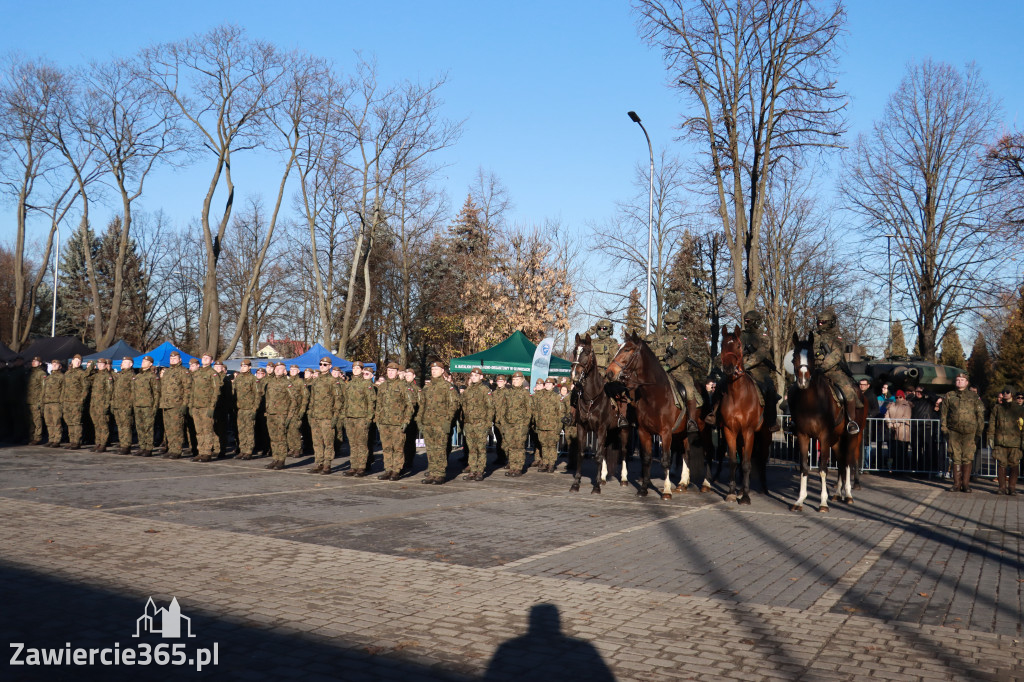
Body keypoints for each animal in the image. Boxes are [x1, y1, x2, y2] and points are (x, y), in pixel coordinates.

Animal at [569, 331, 630, 491]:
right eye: (575, 351)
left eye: (587, 352)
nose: (575, 376)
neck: (591, 397)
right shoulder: (582, 428)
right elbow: (582, 453)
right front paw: (576, 483)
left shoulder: (601, 428)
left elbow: (597, 456)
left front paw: (596, 486)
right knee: (605, 451)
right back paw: (603, 477)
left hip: (624, 430)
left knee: (624, 451)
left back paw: (623, 479)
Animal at [602, 329, 708, 497]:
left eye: (627, 349)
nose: (609, 372)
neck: (653, 395)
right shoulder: (643, 432)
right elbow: (646, 458)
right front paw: (644, 488)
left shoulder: (665, 433)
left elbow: (665, 460)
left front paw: (666, 490)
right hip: (682, 433)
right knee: (686, 453)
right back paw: (683, 483)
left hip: (703, 431)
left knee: (707, 454)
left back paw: (705, 484)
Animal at [716, 323, 770, 503]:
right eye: (722, 345)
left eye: (739, 346)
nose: (728, 368)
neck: (738, 396)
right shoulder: (730, 431)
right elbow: (734, 461)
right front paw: (732, 492)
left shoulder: (748, 432)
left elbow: (747, 463)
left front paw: (745, 496)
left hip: (764, 436)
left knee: (761, 460)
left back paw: (763, 488)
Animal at [786, 329, 868, 509]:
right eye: (794, 357)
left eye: (811, 356)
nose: (803, 381)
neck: (810, 402)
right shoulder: (802, 436)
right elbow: (804, 467)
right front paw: (800, 499)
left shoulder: (823, 436)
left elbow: (823, 468)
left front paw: (823, 502)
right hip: (836, 439)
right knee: (841, 463)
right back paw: (837, 493)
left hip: (851, 436)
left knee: (848, 462)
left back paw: (848, 494)